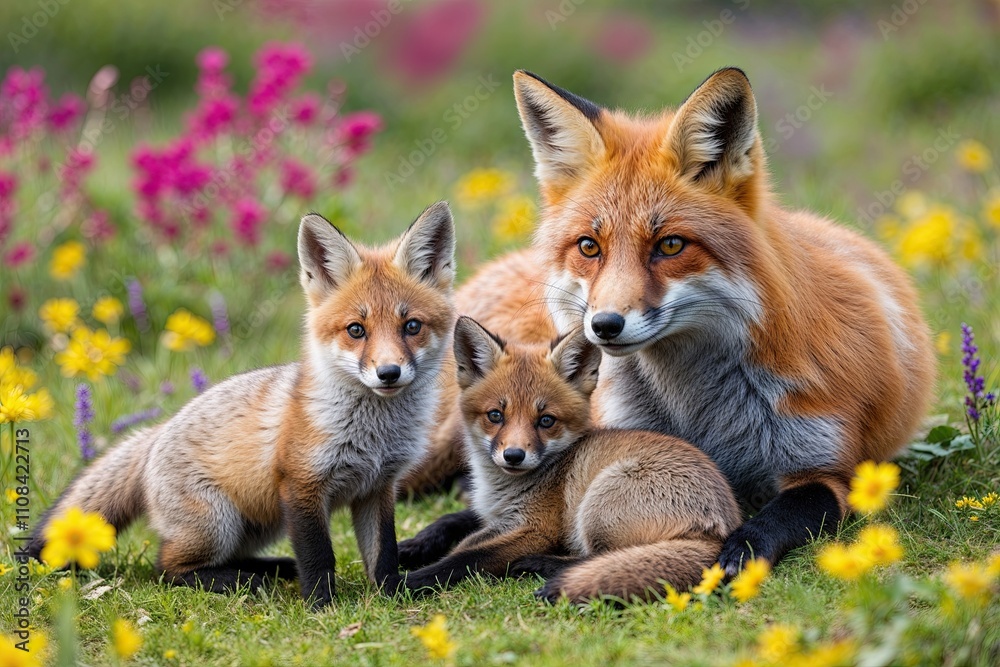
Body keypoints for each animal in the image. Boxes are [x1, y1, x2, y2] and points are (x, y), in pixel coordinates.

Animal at [28, 202, 457, 608]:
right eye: (356, 330)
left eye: (411, 326)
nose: (388, 373)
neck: (374, 436)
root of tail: (157, 431)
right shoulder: (301, 485)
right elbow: (319, 557)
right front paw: (321, 606)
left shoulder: (378, 488)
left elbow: (383, 555)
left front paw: (390, 596)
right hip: (218, 523)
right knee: (165, 568)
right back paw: (242, 582)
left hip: (262, 525)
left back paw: (271, 570)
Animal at [397, 316, 742, 603]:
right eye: (495, 415)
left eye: (546, 420)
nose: (513, 456)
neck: (499, 488)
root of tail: (721, 530)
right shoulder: (497, 515)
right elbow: (449, 522)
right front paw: (410, 547)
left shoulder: (536, 529)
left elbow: (465, 557)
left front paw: (406, 581)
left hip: (598, 502)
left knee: (601, 558)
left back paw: (543, 566)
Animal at [406, 68, 936, 576]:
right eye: (588, 247)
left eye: (671, 245)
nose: (604, 325)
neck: (697, 412)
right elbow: (476, 516)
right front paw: (421, 546)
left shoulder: (828, 471)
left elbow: (767, 521)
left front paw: (732, 555)